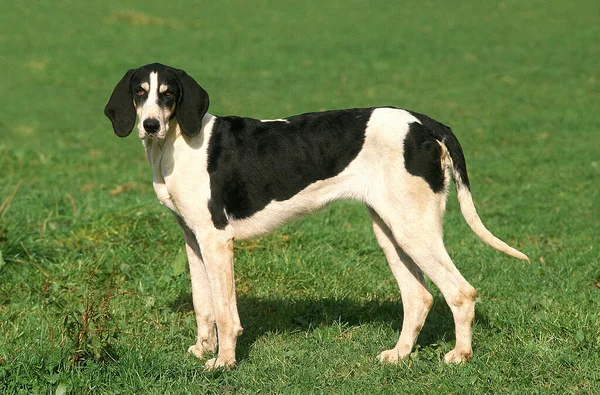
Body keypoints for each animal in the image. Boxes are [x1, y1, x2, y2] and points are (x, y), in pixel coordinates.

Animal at [105, 62, 528, 372]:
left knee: (460, 292)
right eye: (139, 92)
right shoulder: (193, 240)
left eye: (169, 93)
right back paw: (399, 355)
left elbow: (225, 314)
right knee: (419, 297)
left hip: (414, 231)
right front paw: (202, 349)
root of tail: (426, 123)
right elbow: (202, 303)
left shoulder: (217, 240)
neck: (178, 142)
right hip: (390, 230)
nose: (150, 125)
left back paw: (459, 356)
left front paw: (223, 362)